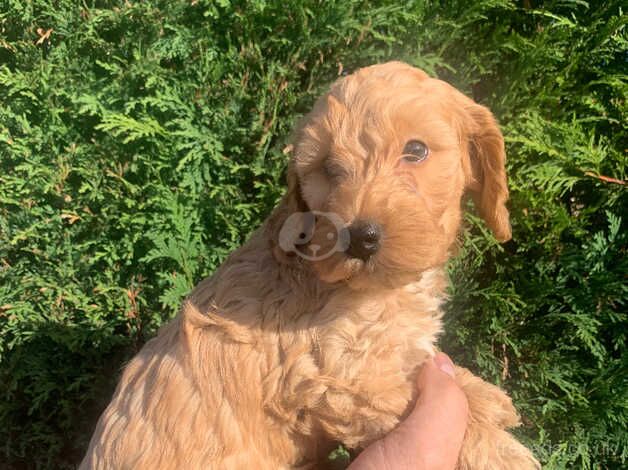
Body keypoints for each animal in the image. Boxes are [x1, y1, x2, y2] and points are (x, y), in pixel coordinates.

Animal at [79, 62, 540, 470]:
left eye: (416, 150)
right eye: (327, 169)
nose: (360, 237)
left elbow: (420, 362)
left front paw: (481, 394)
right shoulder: (331, 379)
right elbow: (408, 400)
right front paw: (502, 453)